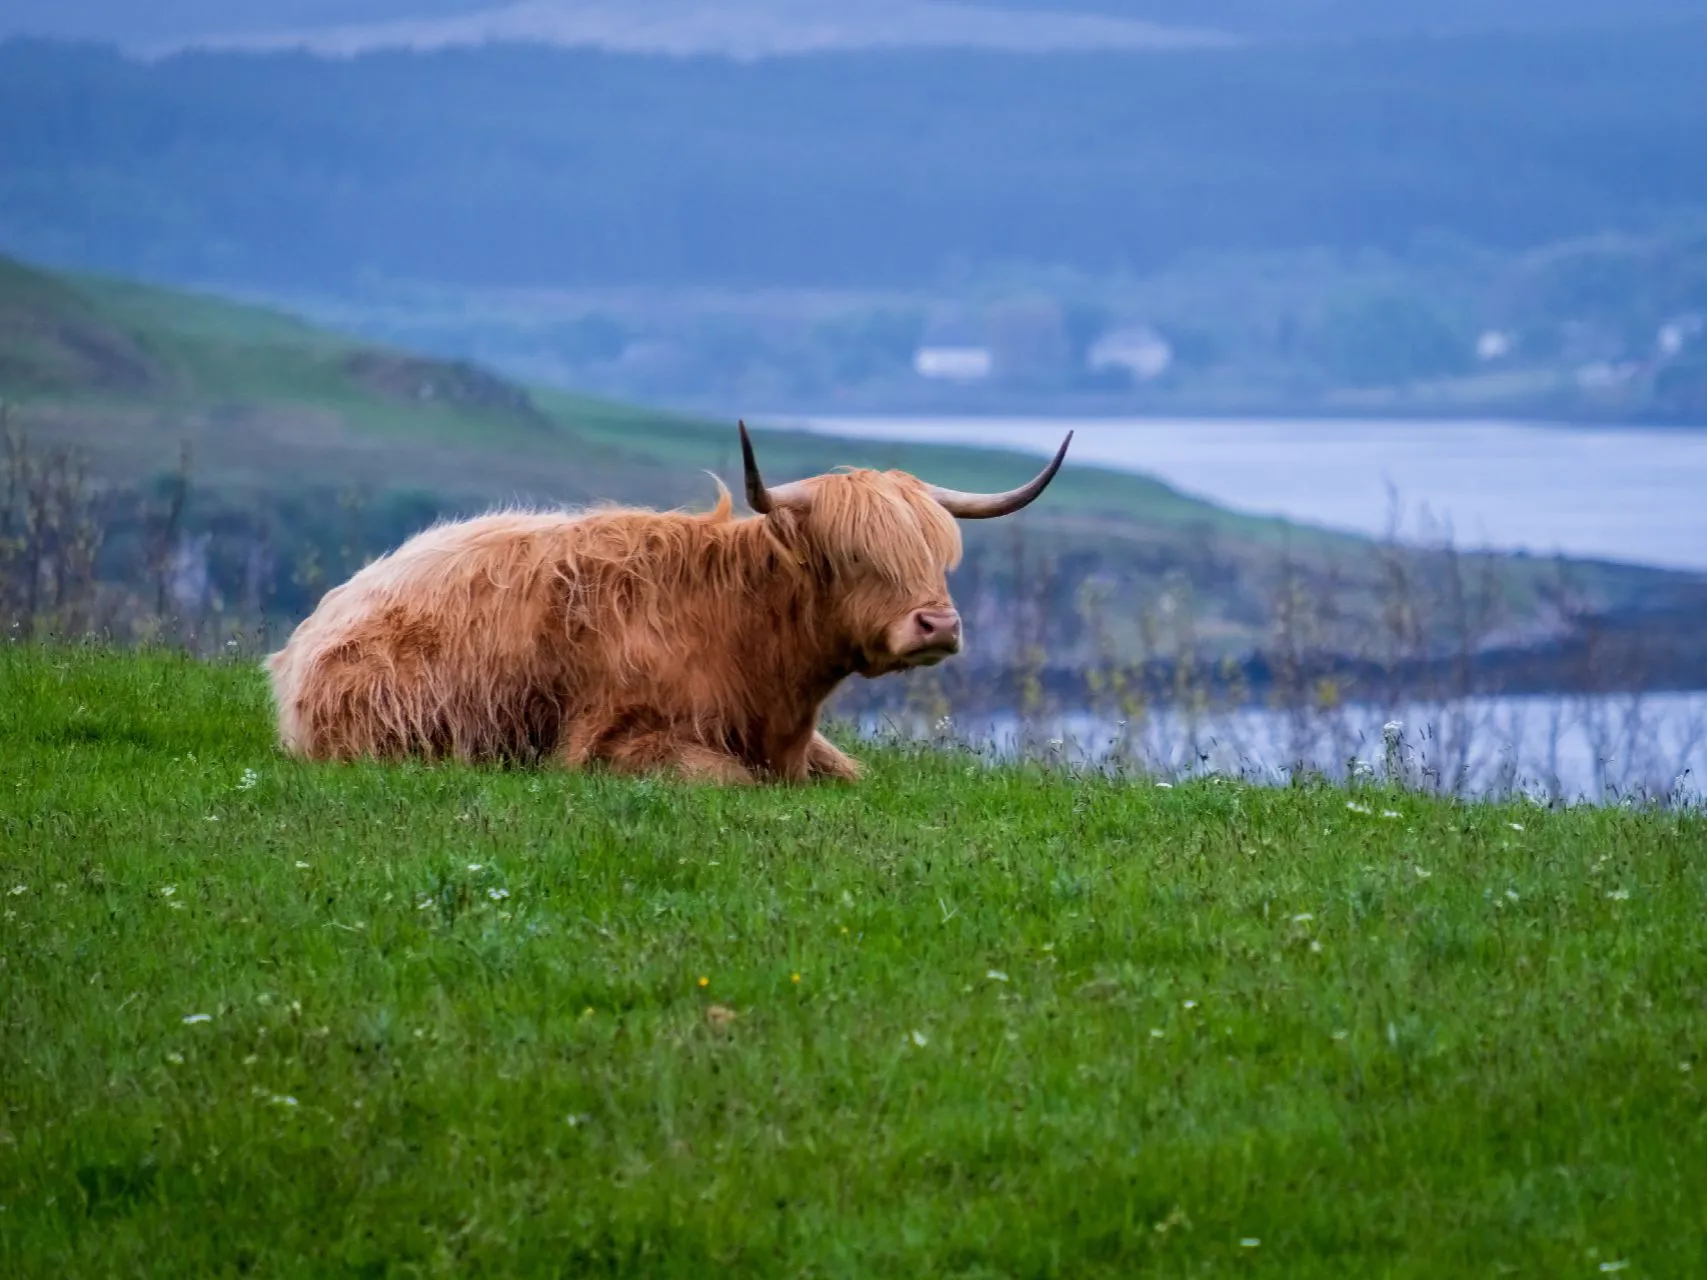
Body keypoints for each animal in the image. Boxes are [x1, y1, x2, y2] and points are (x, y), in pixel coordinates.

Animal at [264, 423, 1065, 781]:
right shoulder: (611, 741)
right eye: (855, 556)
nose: (938, 624)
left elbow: (852, 773)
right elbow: (731, 778)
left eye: (936, 555)